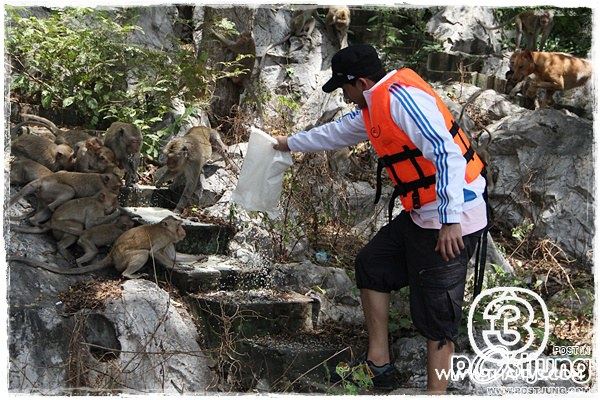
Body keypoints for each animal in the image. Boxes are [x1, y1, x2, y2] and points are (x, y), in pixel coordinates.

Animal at [10, 216, 195, 278]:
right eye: (178, 226)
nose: (184, 232)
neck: (165, 230)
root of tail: (112, 255)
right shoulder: (163, 239)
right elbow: (154, 253)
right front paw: (177, 266)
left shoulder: (169, 241)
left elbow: (174, 256)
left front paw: (196, 260)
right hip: (122, 260)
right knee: (142, 254)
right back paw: (129, 275)